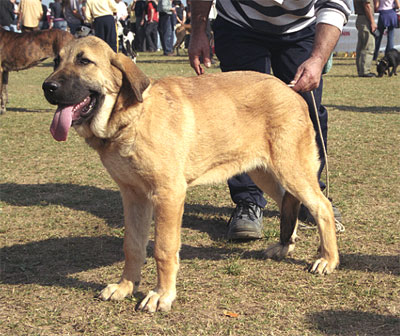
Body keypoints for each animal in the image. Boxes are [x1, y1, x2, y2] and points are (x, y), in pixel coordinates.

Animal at [42, 36, 340, 312]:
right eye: (56, 61)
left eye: (84, 61)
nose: (47, 87)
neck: (133, 117)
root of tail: (292, 90)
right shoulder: (133, 196)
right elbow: (133, 246)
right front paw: (125, 286)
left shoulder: (168, 194)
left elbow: (163, 249)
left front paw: (162, 294)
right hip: (263, 172)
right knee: (289, 201)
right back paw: (285, 246)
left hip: (291, 168)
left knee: (322, 206)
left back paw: (328, 259)